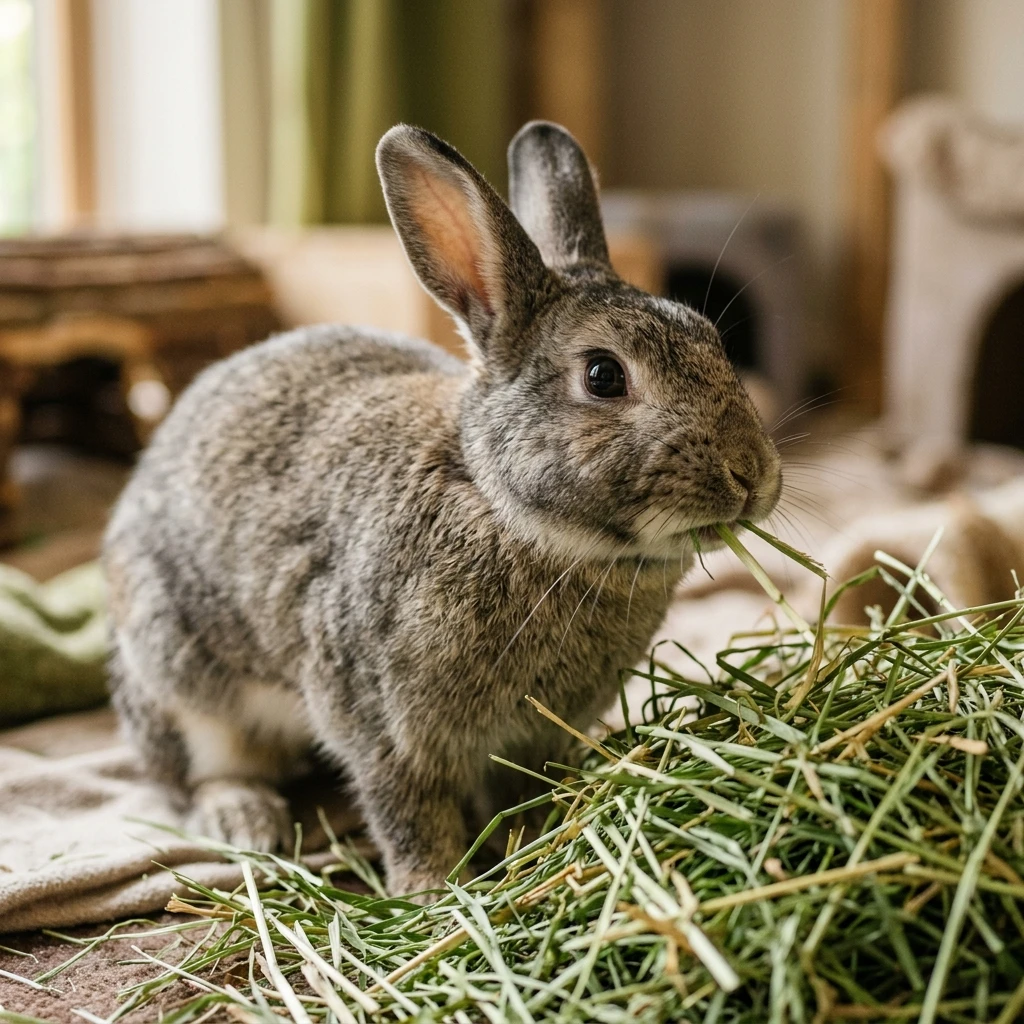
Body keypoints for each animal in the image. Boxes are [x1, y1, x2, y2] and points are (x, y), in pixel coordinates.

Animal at [103, 121, 782, 901]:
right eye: (603, 375)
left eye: (714, 341)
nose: (752, 475)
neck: (502, 507)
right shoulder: (384, 723)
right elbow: (409, 810)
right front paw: (431, 890)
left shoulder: (537, 737)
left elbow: (523, 796)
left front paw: (529, 845)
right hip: (181, 675)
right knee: (201, 768)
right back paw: (246, 819)